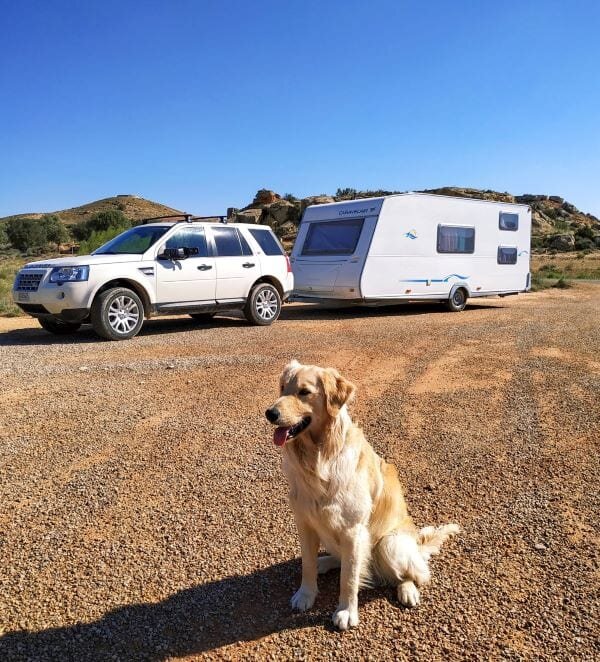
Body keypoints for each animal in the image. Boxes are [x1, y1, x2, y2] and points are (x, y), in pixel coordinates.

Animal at [264, 360, 458, 632]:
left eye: (304, 392)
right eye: (282, 388)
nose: (270, 413)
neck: (320, 456)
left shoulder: (354, 530)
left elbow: (349, 577)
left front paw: (346, 611)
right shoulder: (304, 522)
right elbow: (307, 565)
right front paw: (305, 594)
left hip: (390, 544)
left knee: (414, 573)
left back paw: (407, 590)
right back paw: (326, 561)